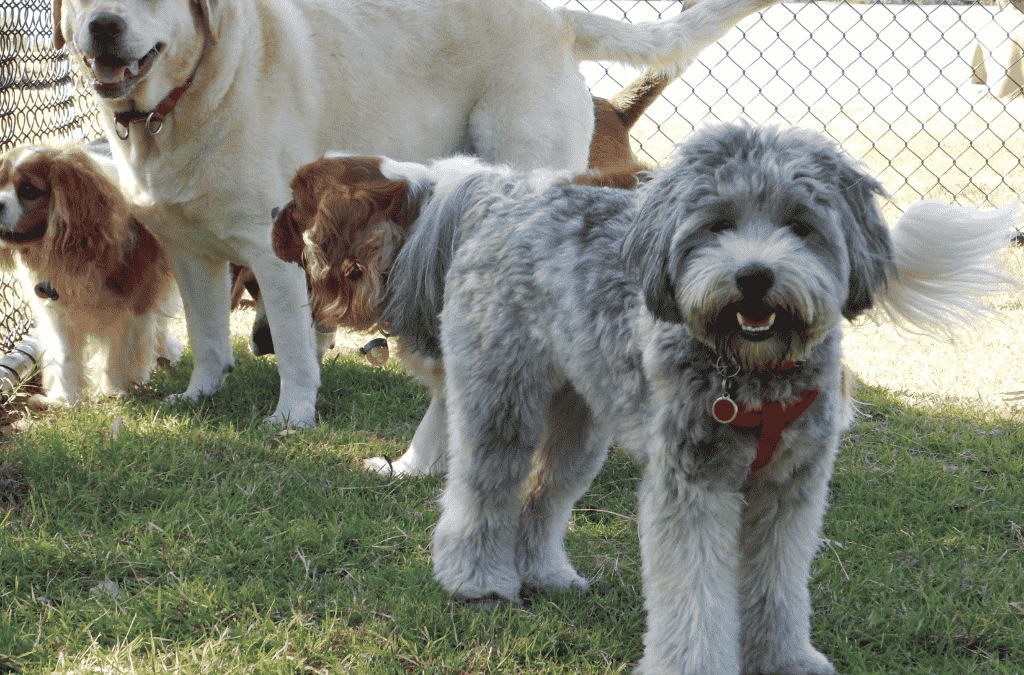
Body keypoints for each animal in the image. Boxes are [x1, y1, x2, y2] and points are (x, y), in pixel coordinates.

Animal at [48, 0, 774, 426]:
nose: (104, 24)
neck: (190, 96)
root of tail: (558, 18)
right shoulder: (191, 253)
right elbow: (206, 337)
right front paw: (201, 394)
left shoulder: (273, 251)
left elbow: (294, 350)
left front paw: (293, 415)